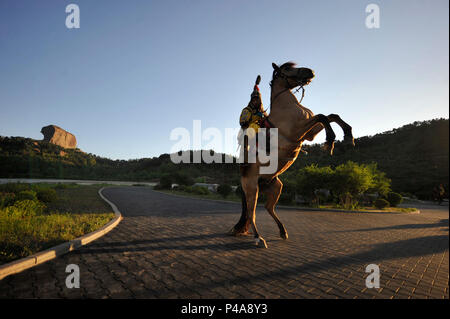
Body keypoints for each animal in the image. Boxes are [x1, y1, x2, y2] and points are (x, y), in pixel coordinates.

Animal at [230, 61, 354, 249]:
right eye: (287, 68)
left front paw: (348, 135)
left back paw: (282, 231)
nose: (310, 71)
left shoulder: (309, 134)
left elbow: (330, 116)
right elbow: (322, 116)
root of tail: (243, 176)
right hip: (252, 189)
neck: (286, 107)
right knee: (251, 214)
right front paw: (330, 140)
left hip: (275, 187)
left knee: (268, 208)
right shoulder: (298, 131)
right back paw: (259, 238)